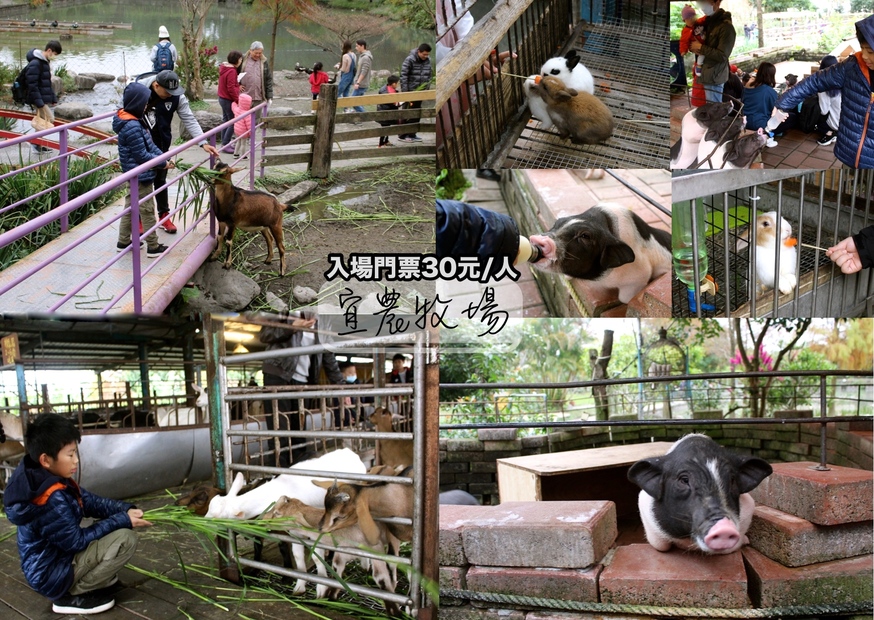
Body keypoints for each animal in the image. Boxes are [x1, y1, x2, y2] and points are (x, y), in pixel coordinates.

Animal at [628, 434, 768, 556]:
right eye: (684, 480)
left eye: (732, 480)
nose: (724, 528)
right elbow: (661, 546)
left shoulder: (749, 506)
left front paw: (745, 541)